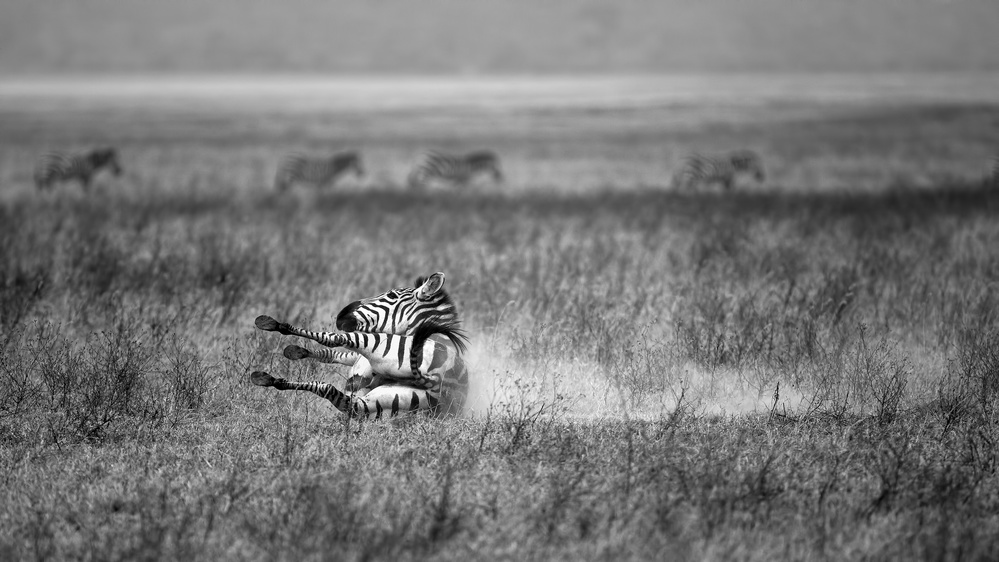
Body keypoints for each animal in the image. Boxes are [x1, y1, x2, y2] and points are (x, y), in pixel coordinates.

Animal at [251, 272, 470, 419]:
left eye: (391, 295)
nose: (341, 316)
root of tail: (439, 377)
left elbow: (332, 344)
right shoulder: (357, 359)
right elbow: (329, 355)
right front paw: (297, 352)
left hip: (382, 346)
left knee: (337, 342)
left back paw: (273, 327)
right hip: (392, 398)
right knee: (344, 400)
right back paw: (269, 379)